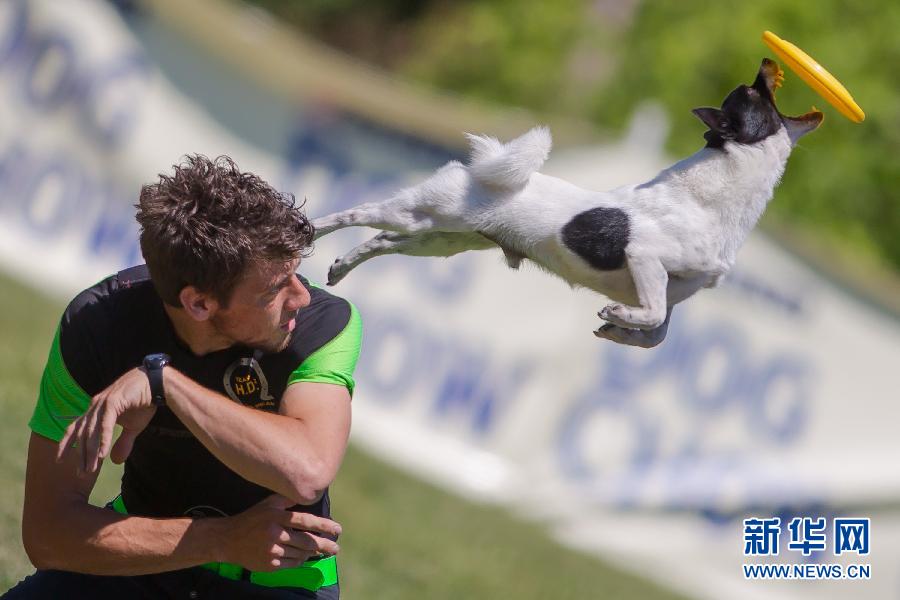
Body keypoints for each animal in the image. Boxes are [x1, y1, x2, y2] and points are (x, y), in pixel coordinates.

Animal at [312, 60, 824, 346]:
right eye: (754, 93)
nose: (766, 61)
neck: (712, 201)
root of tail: (478, 168)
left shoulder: (675, 292)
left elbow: (658, 332)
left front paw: (620, 331)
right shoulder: (646, 259)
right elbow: (654, 314)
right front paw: (618, 316)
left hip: (438, 240)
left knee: (380, 241)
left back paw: (340, 267)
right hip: (421, 215)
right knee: (358, 213)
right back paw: (311, 230)